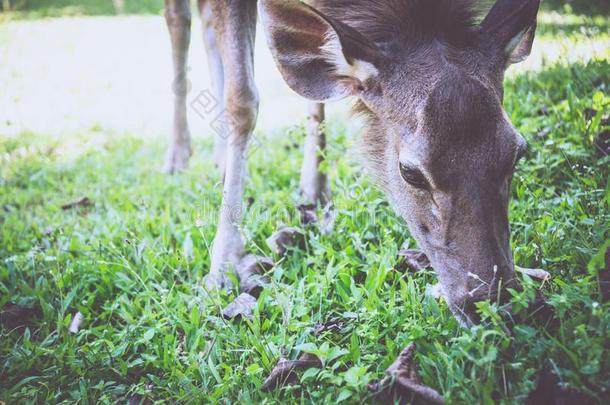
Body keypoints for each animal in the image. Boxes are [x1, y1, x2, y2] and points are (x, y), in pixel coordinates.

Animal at [162, 0, 536, 326]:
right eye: (410, 172)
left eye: (517, 151)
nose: (493, 301)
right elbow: (241, 100)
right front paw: (222, 266)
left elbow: (315, 94)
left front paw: (315, 192)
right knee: (179, 18)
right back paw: (177, 157)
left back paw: (219, 157)